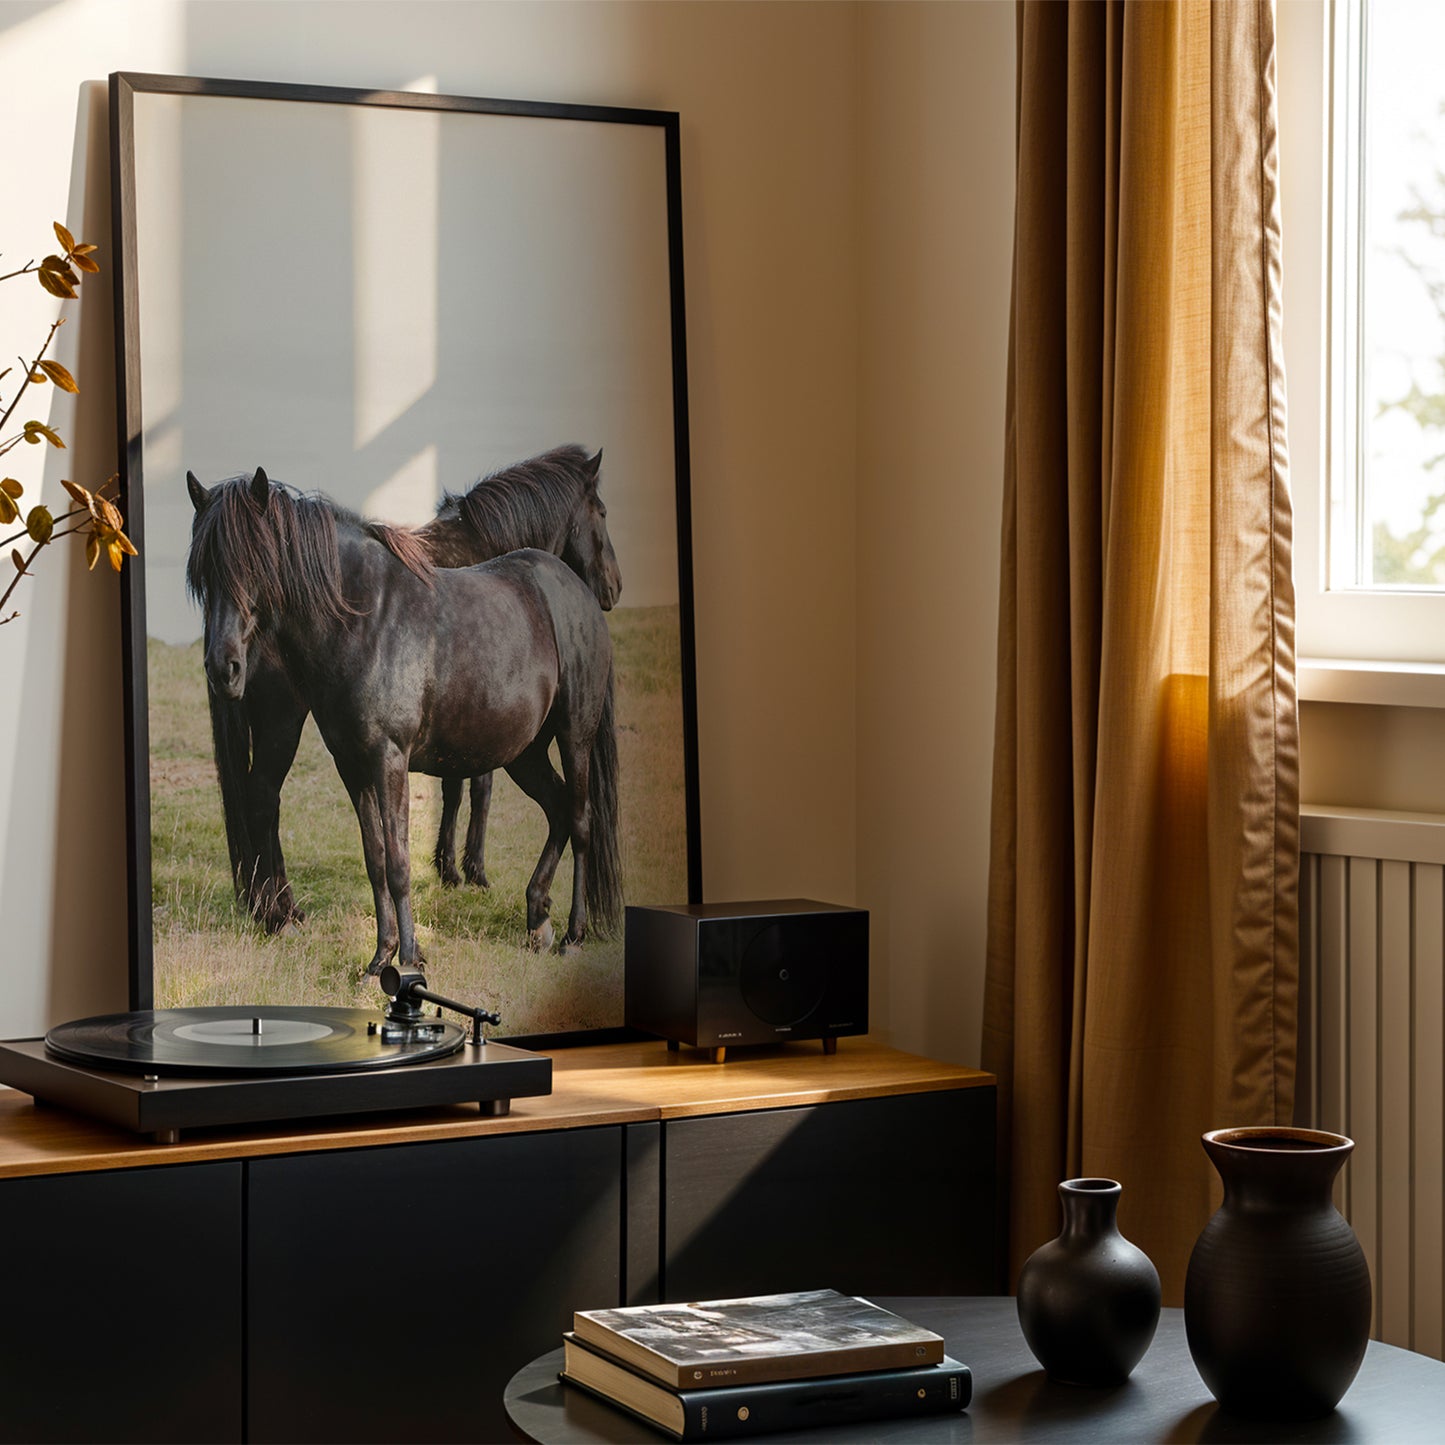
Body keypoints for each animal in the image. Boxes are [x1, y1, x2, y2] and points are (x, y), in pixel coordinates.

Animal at [187, 468, 623, 975]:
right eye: (203, 574)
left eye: (256, 564)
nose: (223, 668)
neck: (365, 619)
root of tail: (579, 595)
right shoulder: (352, 765)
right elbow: (376, 859)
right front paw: (381, 956)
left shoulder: (389, 759)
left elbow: (399, 863)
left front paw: (411, 955)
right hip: (525, 751)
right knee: (557, 809)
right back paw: (537, 919)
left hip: (574, 737)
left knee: (580, 821)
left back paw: (573, 933)